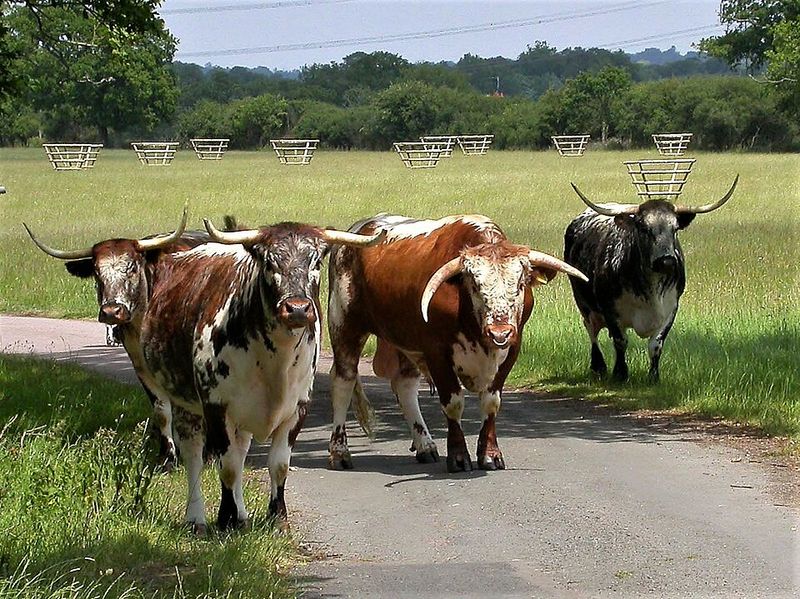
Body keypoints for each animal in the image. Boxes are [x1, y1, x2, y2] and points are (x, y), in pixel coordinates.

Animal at [24, 208, 207, 467]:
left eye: (132, 267)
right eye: (96, 272)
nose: (112, 311)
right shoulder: (141, 366)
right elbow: (162, 410)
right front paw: (167, 457)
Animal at [139, 219, 384, 532]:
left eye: (316, 261)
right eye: (269, 262)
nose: (297, 308)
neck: (275, 362)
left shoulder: (297, 409)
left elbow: (278, 465)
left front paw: (277, 518)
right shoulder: (217, 408)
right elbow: (228, 467)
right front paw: (226, 519)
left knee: (241, 451)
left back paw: (242, 515)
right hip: (185, 403)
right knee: (194, 455)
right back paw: (196, 519)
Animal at [327, 214, 588, 473]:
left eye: (520, 284)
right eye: (475, 286)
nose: (499, 332)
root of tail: (360, 227)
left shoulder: (512, 349)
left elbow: (491, 402)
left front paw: (490, 455)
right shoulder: (436, 352)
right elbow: (452, 403)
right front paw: (459, 457)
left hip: (405, 340)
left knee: (405, 386)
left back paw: (425, 445)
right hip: (344, 325)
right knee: (343, 383)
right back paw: (340, 452)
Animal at [563, 176, 738, 382]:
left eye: (675, 229)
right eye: (644, 228)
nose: (667, 260)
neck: (651, 289)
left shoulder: (671, 309)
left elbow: (656, 345)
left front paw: (653, 376)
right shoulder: (609, 309)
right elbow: (620, 341)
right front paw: (620, 373)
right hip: (583, 303)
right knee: (591, 329)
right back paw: (598, 366)